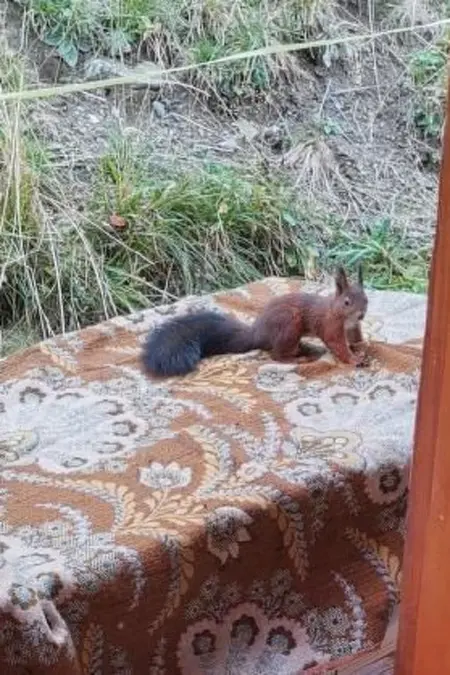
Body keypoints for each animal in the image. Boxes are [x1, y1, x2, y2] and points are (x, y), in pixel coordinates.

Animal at [142, 265, 368, 377]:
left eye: (366, 299)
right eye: (347, 302)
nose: (362, 315)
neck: (340, 314)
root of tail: (257, 333)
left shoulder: (353, 327)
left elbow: (356, 338)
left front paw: (362, 345)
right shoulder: (330, 326)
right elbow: (337, 345)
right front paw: (354, 359)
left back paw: (306, 349)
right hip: (289, 325)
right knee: (276, 355)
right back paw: (298, 359)